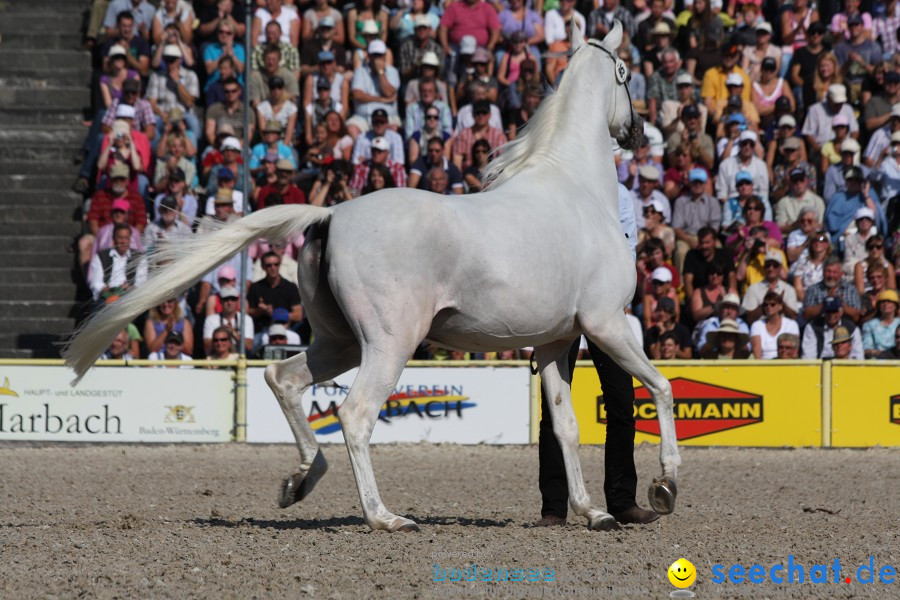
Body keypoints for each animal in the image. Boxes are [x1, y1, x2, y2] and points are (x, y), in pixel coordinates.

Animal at [67, 21, 680, 532]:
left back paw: (301, 481)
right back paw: (384, 517)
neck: (574, 188)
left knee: (284, 379)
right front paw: (665, 486)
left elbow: (565, 426)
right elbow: (660, 387)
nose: (637, 130)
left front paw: (593, 512)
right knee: (354, 414)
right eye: (627, 73)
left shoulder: (555, 341)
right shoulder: (606, 324)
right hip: (389, 344)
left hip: (340, 342)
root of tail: (330, 214)